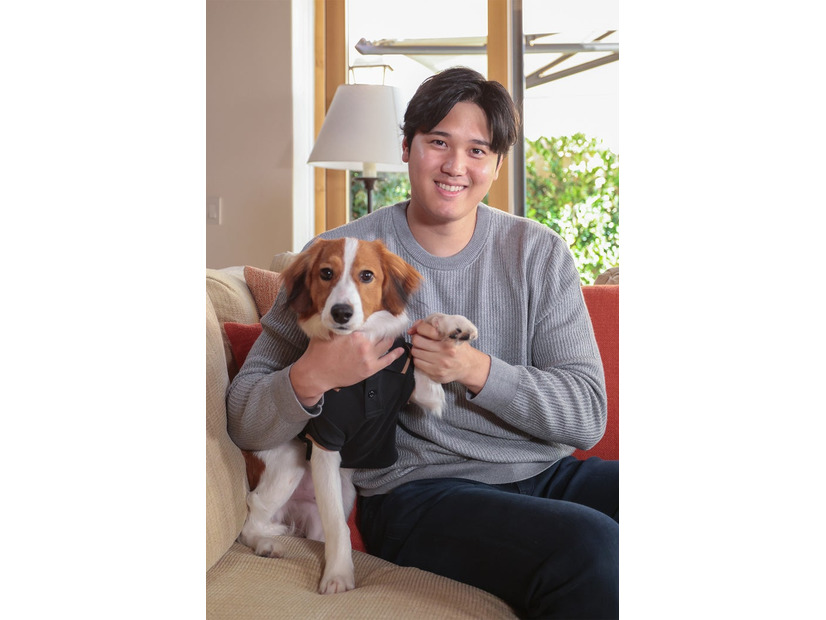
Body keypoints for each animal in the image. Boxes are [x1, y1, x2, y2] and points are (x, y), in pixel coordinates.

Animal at [238, 239, 476, 596]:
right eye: (326, 273)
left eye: (367, 275)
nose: (341, 313)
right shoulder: (325, 443)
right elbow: (340, 527)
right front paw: (338, 575)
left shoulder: (418, 389)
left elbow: (422, 335)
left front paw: (451, 325)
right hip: (292, 461)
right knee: (252, 514)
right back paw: (266, 543)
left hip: (340, 494)